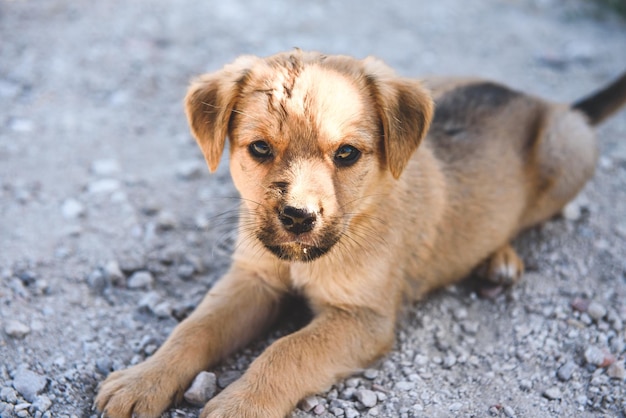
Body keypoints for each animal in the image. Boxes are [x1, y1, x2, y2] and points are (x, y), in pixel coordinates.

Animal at [95, 51, 624, 418]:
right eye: (260, 148)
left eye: (346, 154)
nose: (298, 217)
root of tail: (548, 102)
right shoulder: (253, 280)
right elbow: (193, 328)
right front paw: (142, 380)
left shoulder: (363, 318)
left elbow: (285, 351)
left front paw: (240, 404)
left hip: (567, 155)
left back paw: (501, 259)